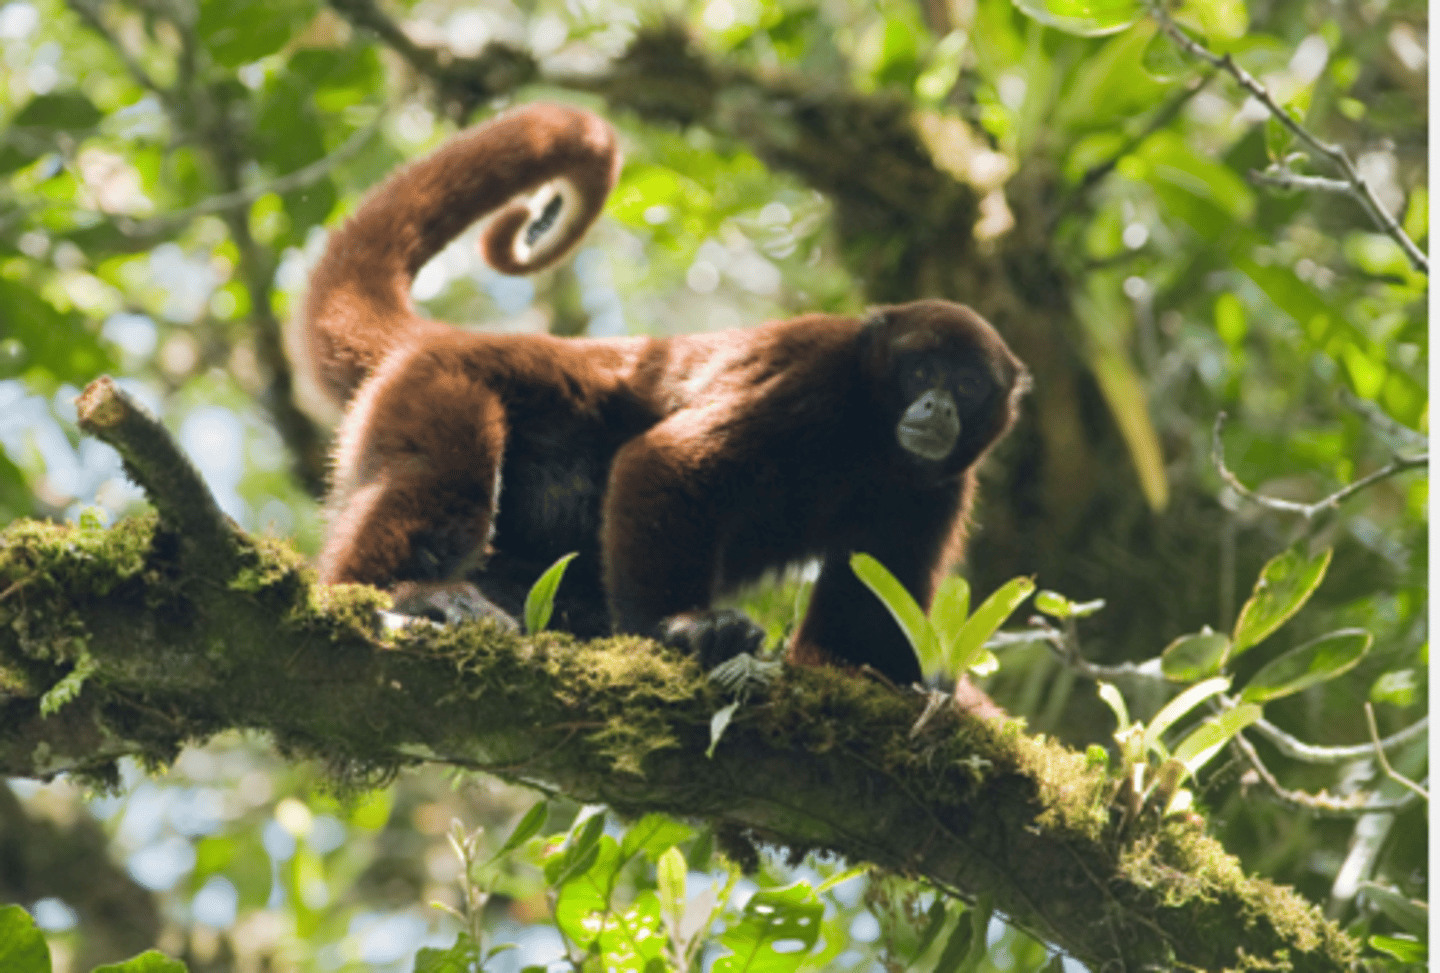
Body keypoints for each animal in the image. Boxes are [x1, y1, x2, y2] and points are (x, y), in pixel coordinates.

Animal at [303, 102, 1028, 689]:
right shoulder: (812, 376)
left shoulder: (938, 490)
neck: (869, 436)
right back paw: (409, 593)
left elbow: (862, 623)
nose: (937, 408)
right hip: (431, 385)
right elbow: (670, 461)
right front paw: (683, 629)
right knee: (446, 473)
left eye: (966, 384)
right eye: (922, 372)